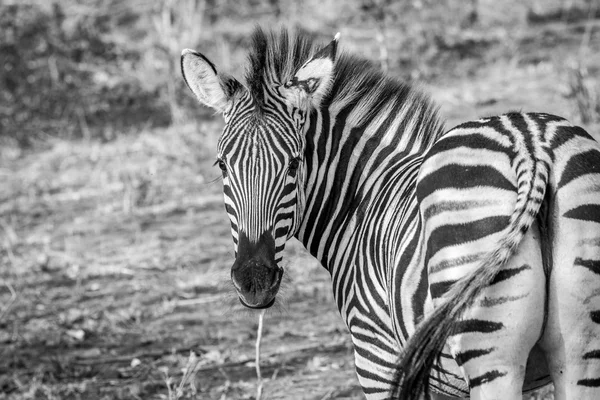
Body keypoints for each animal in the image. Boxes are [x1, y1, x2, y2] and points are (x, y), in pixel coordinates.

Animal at [180, 28, 600, 400]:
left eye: (294, 164)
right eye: (222, 165)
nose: (254, 283)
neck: (361, 203)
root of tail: (530, 144)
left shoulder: (376, 357)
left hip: (493, 356)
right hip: (579, 348)